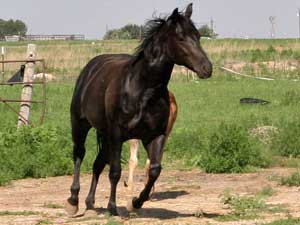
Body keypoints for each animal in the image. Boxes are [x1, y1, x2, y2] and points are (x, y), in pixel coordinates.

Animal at [65, 3, 211, 216]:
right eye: (181, 38)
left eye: (198, 36)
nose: (207, 68)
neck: (143, 90)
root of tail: (90, 68)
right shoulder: (118, 135)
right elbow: (115, 171)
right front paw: (113, 207)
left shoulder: (155, 136)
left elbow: (154, 170)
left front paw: (136, 202)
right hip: (80, 124)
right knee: (79, 154)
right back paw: (73, 201)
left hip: (105, 134)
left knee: (98, 163)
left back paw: (90, 202)